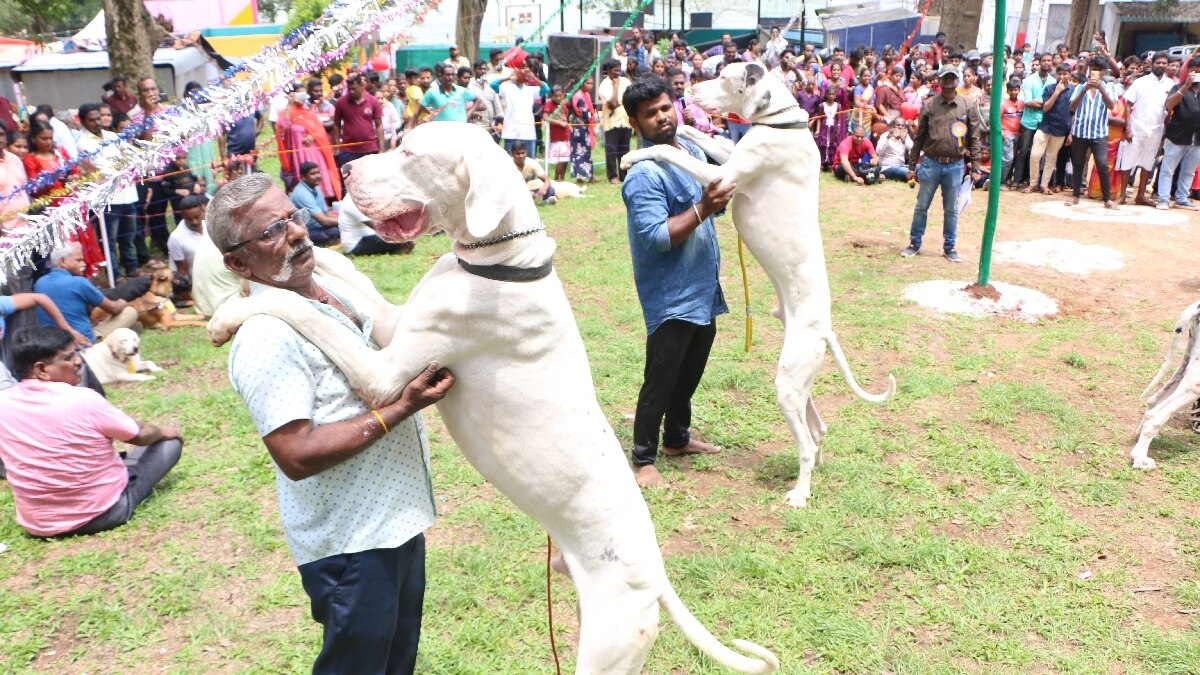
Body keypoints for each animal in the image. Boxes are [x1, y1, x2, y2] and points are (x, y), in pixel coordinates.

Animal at [208, 121, 777, 672]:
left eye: (409, 152)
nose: (345, 171)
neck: (505, 259)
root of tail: (656, 577)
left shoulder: (383, 372)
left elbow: (298, 310)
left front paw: (228, 314)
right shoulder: (392, 326)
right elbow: (349, 280)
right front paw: (308, 252)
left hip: (610, 644)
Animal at [624, 63, 897, 504]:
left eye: (724, 77)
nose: (688, 91)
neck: (782, 122)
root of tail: (825, 330)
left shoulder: (723, 175)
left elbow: (667, 151)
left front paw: (636, 153)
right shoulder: (729, 156)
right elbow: (704, 139)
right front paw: (684, 126)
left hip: (787, 382)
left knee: (806, 445)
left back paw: (800, 493)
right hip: (799, 382)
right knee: (817, 428)